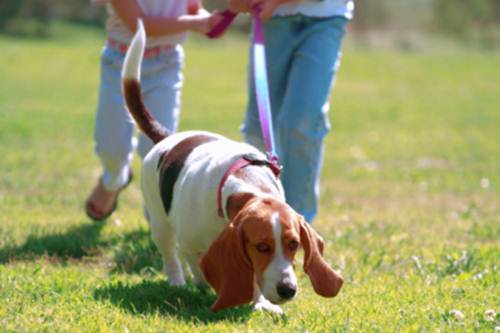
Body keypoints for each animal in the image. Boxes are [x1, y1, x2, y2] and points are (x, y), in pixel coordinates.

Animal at [122, 20, 342, 312]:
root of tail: (168, 136)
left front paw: (261, 304)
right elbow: (199, 263)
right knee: (171, 254)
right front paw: (208, 284)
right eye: (261, 247)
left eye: (294, 244)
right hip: (160, 223)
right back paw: (178, 281)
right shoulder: (191, 243)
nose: (288, 290)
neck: (245, 184)